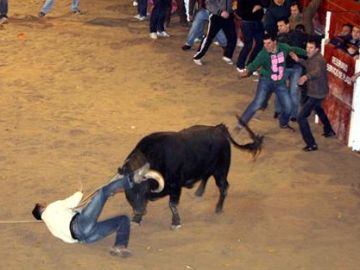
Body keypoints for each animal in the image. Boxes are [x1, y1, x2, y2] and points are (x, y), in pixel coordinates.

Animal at [118, 123, 262, 229]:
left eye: (144, 188)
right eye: (128, 191)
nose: (139, 210)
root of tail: (218, 128)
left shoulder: (175, 186)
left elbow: (172, 204)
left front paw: (176, 223)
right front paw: (136, 219)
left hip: (221, 171)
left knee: (223, 187)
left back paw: (218, 208)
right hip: (208, 167)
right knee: (206, 176)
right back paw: (199, 192)